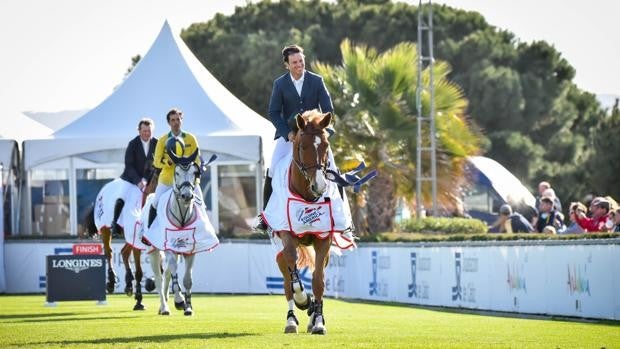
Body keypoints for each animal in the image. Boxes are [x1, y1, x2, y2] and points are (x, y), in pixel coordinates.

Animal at [142, 147, 219, 316]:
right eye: (176, 172)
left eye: (194, 173)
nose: (187, 195)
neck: (182, 216)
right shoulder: (169, 246)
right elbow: (173, 272)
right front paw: (179, 300)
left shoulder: (191, 250)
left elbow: (187, 280)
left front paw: (188, 307)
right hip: (153, 250)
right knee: (159, 278)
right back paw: (164, 307)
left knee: (166, 274)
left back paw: (164, 306)